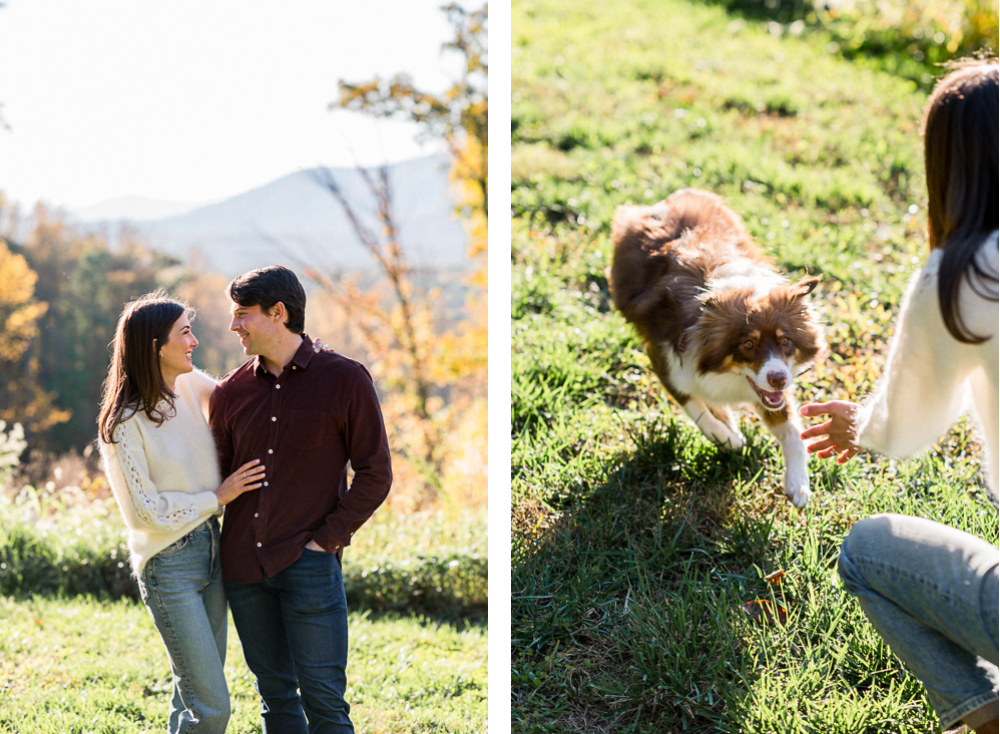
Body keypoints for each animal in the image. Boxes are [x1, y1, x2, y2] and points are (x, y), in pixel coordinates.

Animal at [612, 190, 824, 508]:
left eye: (786, 341)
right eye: (747, 344)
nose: (779, 379)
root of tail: (669, 199)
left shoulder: (771, 390)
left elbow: (793, 432)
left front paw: (798, 486)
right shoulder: (666, 363)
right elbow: (695, 407)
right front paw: (729, 440)